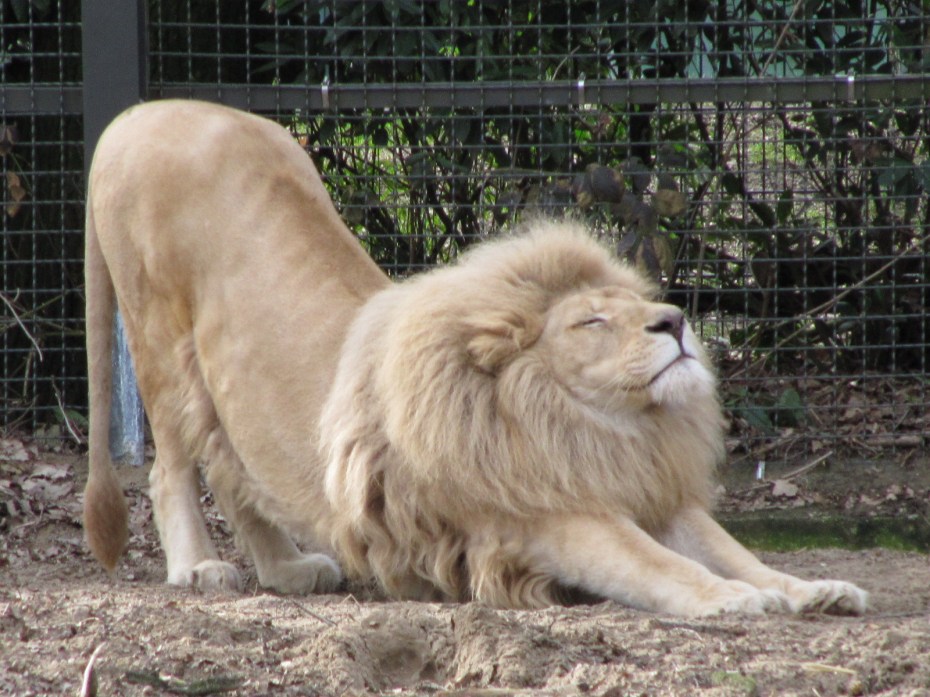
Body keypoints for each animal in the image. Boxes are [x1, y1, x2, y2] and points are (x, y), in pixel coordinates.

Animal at [84, 100, 868, 616]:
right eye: (591, 319)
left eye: (634, 302)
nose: (675, 321)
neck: (594, 423)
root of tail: (138, 111)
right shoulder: (548, 514)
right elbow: (660, 563)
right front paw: (734, 599)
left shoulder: (642, 486)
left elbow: (733, 549)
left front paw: (810, 590)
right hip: (159, 343)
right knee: (172, 467)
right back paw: (199, 567)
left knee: (233, 469)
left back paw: (288, 569)